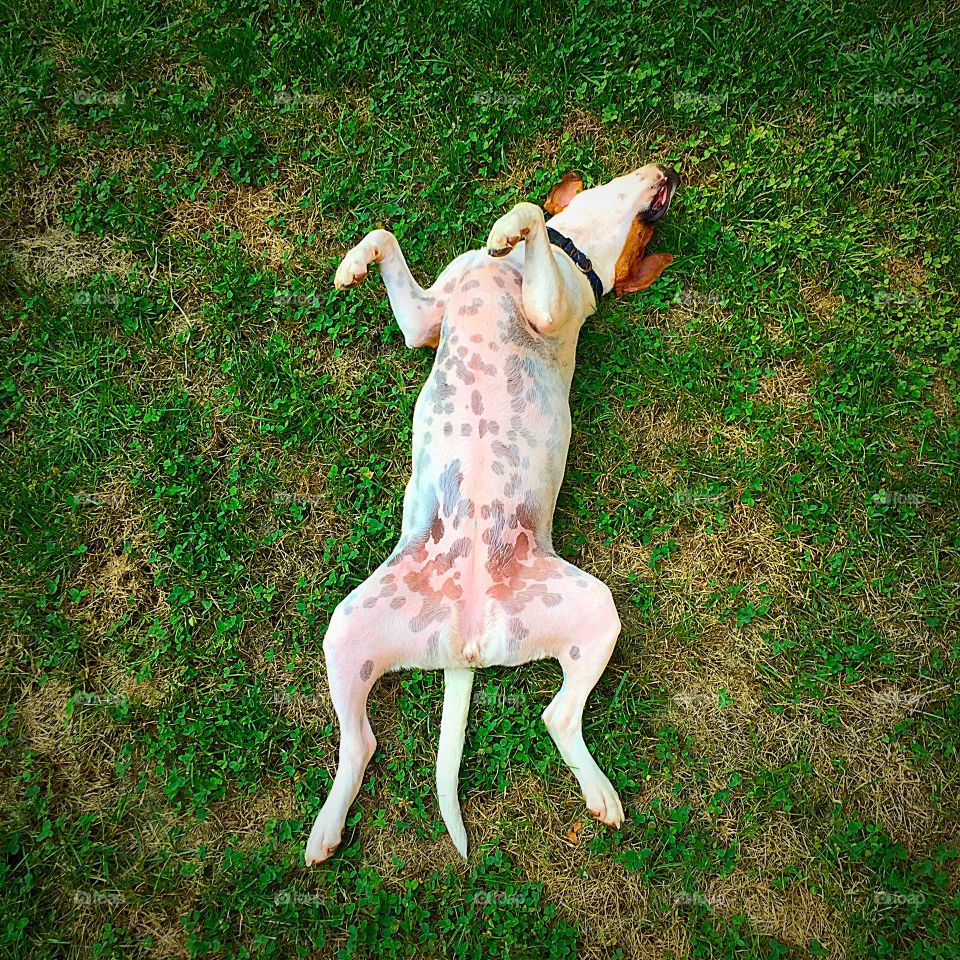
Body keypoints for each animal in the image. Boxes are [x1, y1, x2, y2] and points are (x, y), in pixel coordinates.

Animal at [304, 161, 680, 868]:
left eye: (645, 236)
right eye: (646, 213)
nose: (672, 170)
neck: (567, 251)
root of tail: (468, 639)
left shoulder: (551, 307)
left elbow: (527, 208)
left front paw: (508, 228)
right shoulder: (426, 318)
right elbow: (386, 234)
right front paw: (351, 264)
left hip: (599, 610)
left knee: (556, 717)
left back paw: (600, 794)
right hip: (346, 631)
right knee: (361, 744)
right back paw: (325, 829)